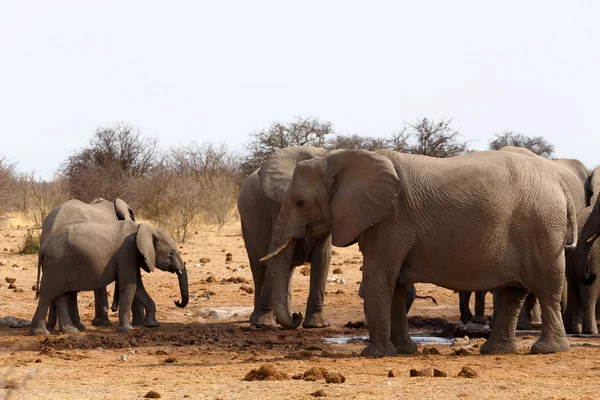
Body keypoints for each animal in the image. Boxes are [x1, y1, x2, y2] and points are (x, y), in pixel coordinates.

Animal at [29, 220, 188, 336]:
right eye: (172, 253)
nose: (176, 301)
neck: (145, 228)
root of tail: (43, 247)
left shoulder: (133, 255)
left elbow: (137, 286)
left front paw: (151, 325)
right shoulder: (127, 252)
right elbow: (128, 285)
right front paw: (128, 330)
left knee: (61, 296)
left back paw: (71, 331)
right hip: (57, 264)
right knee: (47, 295)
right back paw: (40, 333)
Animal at [238, 147, 332, 328]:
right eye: (301, 202)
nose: (297, 315)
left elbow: (322, 256)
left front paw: (315, 325)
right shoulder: (278, 205)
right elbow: (272, 254)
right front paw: (263, 324)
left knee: (287, 268)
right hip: (245, 225)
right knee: (259, 268)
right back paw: (256, 320)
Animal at [262, 148, 576, 356]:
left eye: (301, 203)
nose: (296, 317)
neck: (341, 158)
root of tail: (560, 183)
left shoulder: (389, 219)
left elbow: (379, 277)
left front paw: (375, 355)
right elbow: (396, 284)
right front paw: (405, 351)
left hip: (541, 226)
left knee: (546, 286)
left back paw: (547, 350)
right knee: (514, 291)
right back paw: (497, 351)